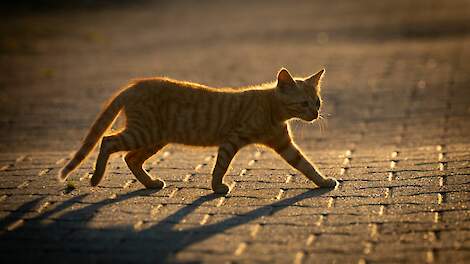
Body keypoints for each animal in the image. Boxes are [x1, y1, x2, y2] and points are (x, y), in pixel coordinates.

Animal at [58, 68, 338, 194]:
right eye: (303, 103)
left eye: (317, 102)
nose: (315, 114)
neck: (270, 109)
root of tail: (134, 85)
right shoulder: (231, 140)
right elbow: (221, 165)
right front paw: (217, 186)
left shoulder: (284, 145)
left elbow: (306, 165)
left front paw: (324, 181)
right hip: (143, 133)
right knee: (107, 141)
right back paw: (96, 178)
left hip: (155, 138)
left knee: (130, 158)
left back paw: (150, 183)